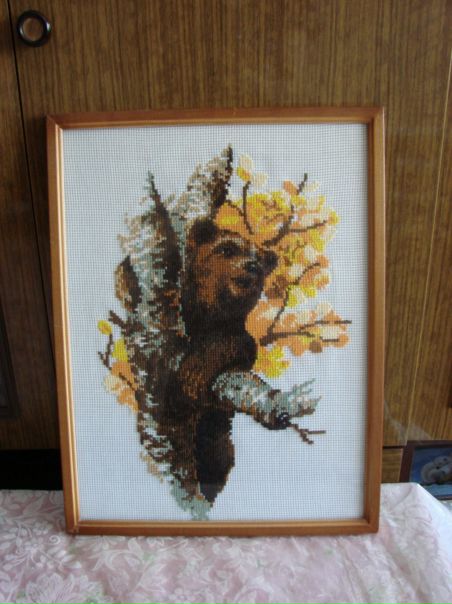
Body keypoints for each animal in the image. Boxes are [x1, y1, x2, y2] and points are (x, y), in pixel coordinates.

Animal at [160, 217, 278, 503]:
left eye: (259, 260)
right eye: (227, 249)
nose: (252, 266)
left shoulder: (235, 335)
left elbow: (229, 345)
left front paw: (193, 375)